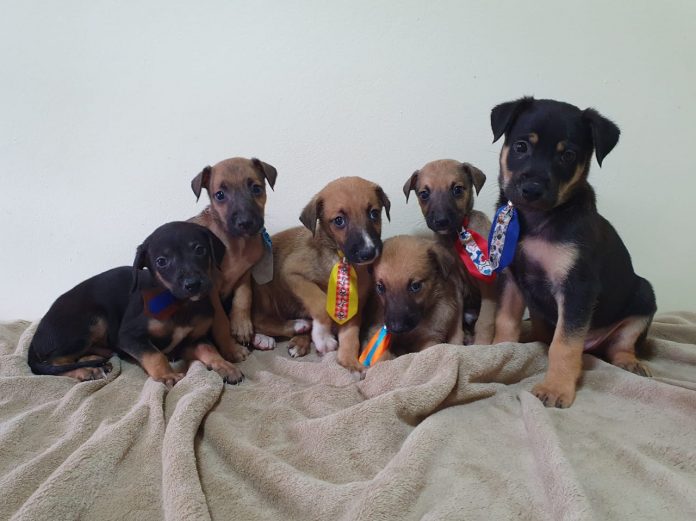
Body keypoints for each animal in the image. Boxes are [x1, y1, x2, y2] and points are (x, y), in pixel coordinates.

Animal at [28, 221, 243, 386]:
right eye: (162, 261)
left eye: (200, 249)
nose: (193, 284)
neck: (179, 305)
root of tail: (38, 334)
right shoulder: (128, 335)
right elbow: (155, 354)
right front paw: (167, 375)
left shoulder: (192, 339)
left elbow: (210, 349)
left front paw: (226, 366)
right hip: (93, 322)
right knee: (53, 363)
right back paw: (87, 370)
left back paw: (94, 362)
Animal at [189, 157, 277, 361]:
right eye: (220, 195)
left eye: (256, 188)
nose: (245, 223)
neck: (237, 245)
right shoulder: (210, 289)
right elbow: (221, 320)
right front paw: (231, 349)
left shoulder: (245, 273)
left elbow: (244, 297)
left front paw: (242, 326)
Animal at [251, 176, 390, 371]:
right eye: (339, 221)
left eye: (374, 214)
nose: (368, 252)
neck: (340, 259)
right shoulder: (292, 272)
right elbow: (320, 302)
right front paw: (322, 337)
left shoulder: (355, 305)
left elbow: (351, 337)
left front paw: (350, 362)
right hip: (264, 289)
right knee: (258, 320)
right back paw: (284, 331)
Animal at [403, 159, 497, 344]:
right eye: (424, 194)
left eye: (457, 189)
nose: (441, 221)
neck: (456, 237)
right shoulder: (456, 284)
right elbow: (456, 323)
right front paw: (456, 344)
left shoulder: (488, 285)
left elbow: (485, 320)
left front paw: (482, 344)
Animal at [490, 96, 657, 408]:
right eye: (521, 146)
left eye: (567, 155)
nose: (531, 189)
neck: (537, 220)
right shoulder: (511, 279)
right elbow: (505, 322)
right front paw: (496, 353)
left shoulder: (578, 288)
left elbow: (564, 345)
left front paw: (556, 388)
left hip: (644, 297)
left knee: (621, 346)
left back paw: (631, 362)